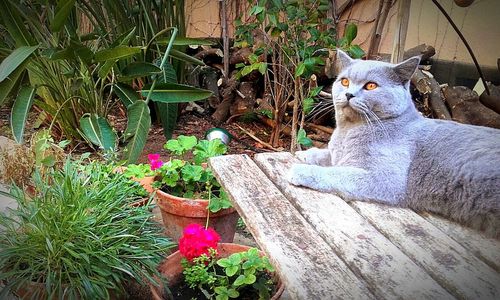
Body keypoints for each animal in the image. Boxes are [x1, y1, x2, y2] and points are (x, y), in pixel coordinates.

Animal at [288, 49, 500, 239]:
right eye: (345, 81)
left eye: (371, 86)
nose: (348, 94)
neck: (348, 131)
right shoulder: (338, 153)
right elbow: (327, 154)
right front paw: (305, 154)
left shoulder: (385, 179)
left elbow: (337, 172)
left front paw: (300, 170)